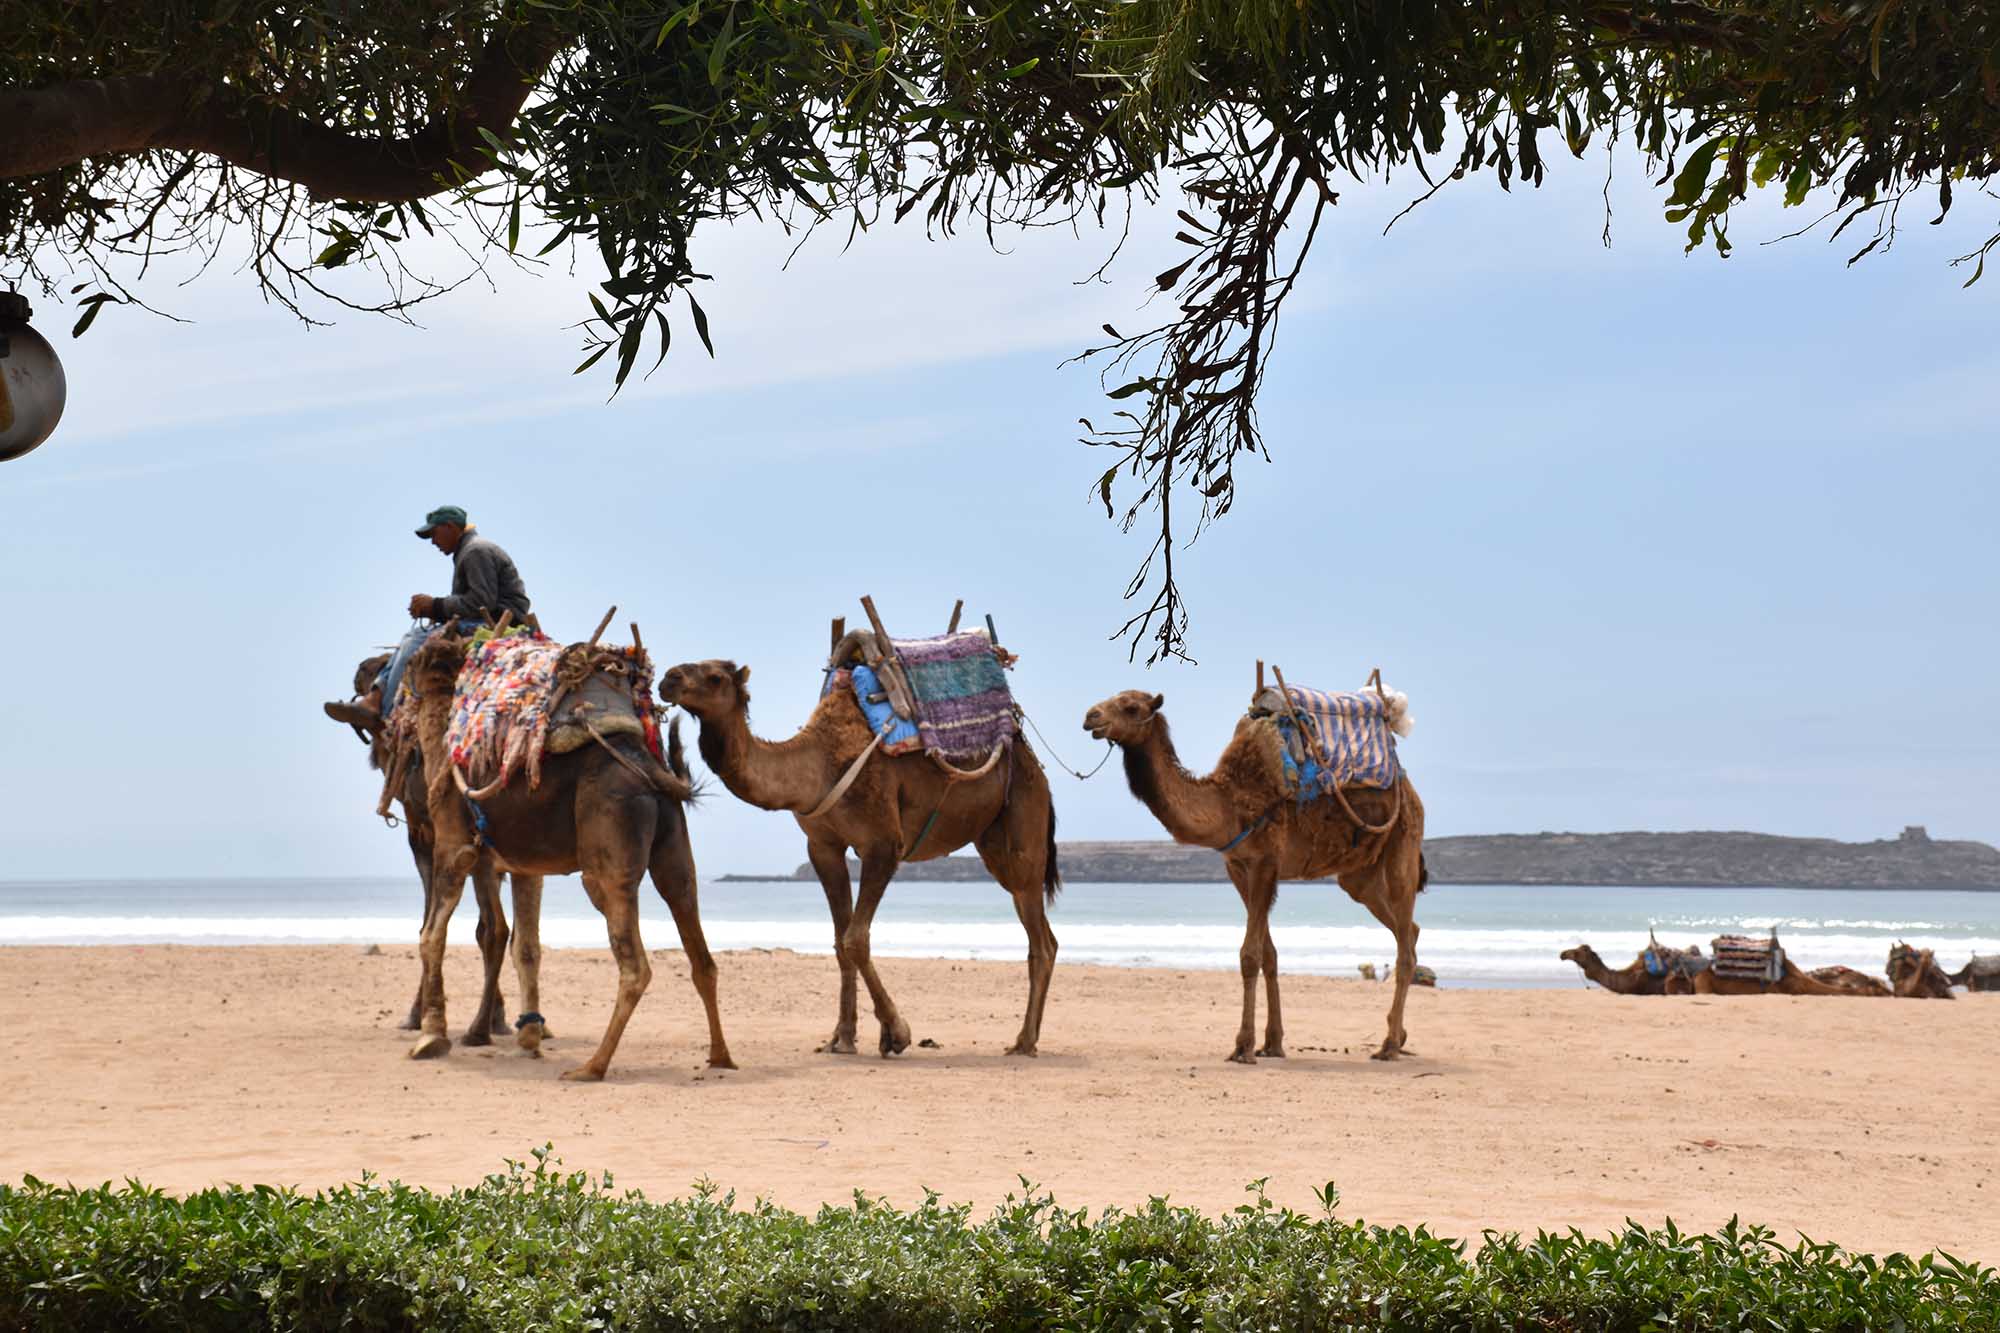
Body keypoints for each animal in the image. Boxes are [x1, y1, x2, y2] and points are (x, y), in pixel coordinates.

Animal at [394, 632, 732, 1080]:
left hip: (606, 857)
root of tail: (647, 767)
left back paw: (593, 1067)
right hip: (674, 850)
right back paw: (720, 1055)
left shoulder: (454, 845)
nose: (395, 710)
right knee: (699, 950)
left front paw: (431, 1037)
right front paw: (528, 1039)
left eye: (411, 665)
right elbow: (524, 945)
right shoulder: (520, 864)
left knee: (634, 966)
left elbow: (432, 935)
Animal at [1088, 684, 1432, 1056]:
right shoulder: (1238, 867)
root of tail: (1409, 788)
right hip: (1358, 875)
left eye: (1131, 707)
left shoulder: (1265, 863)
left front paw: (1243, 1045)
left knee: (1405, 944)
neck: (1227, 804)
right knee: (1408, 930)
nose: (1090, 716)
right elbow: (1269, 954)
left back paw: (1388, 1045)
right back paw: (1400, 1034)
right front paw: (1272, 1042)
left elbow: (1250, 955)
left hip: (1403, 840)